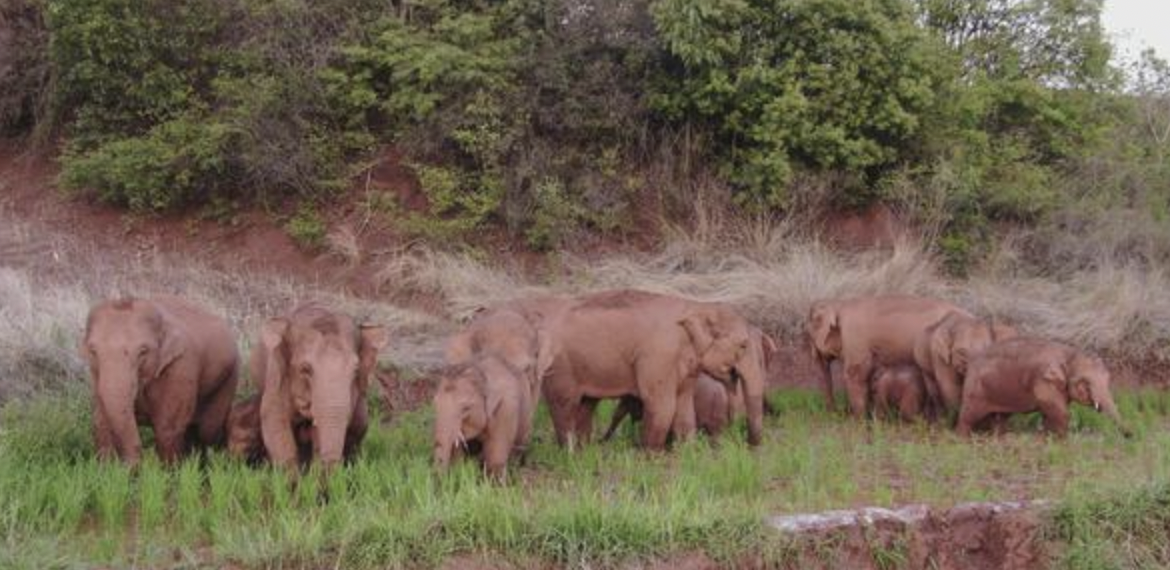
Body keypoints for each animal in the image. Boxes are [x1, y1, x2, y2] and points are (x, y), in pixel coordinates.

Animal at [81, 297, 239, 465]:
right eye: (93, 351)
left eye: (143, 351)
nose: (132, 464)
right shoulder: (96, 374)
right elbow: (100, 421)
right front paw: (106, 468)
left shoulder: (181, 365)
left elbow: (167, 427)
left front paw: (168, 470)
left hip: (229, 377)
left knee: (207, 430)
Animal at [252, 306, 388, 470]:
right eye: (305, 369)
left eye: (356, 370)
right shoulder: (276, 377)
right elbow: (274, 421)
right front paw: (290, 477)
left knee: (360, 424)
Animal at [540, 290, 762, 451]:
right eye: (743, 345)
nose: (749, 445)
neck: (695, 306)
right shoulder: (658, 357)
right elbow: (662, 404)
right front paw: (651, 457)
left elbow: (684, 405)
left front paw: (688, 453)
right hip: (560, 368)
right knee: (564, 405)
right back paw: (570, 454)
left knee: (587, 404)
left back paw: (586, 450)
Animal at [804, 297, 968, 416]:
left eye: (808, 337)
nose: (836, 412)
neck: (839, 303)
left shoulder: (854, 338)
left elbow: (855, 375)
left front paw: (858, 422)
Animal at [954, 339, 1127, 437]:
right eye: (1085, 382)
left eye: (1108, 379)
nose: (1129, 435)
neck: (1068, 353)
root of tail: (970, 359)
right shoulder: (1043, 382)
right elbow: (1058, 411)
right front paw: (1062, 441)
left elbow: (1050, 412)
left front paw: (1046, 437)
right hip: (975, 389)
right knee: (968, 415)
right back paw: (963, 439)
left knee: (1000, 417)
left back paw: (1000, 437)